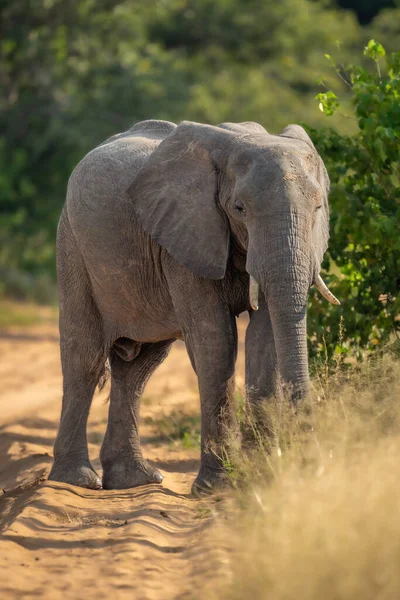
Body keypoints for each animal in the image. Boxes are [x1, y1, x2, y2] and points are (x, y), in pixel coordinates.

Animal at [48, 117, 340, 492]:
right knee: (84, 359)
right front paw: (218, 487)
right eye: (240, 209)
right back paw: (77, 480)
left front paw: (260, 478)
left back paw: (135, 479)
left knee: (139, 369)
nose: (314, 467)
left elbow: (263, 340)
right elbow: (215, 343)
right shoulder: (184, 236)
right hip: (72, 245)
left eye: (318, 207)